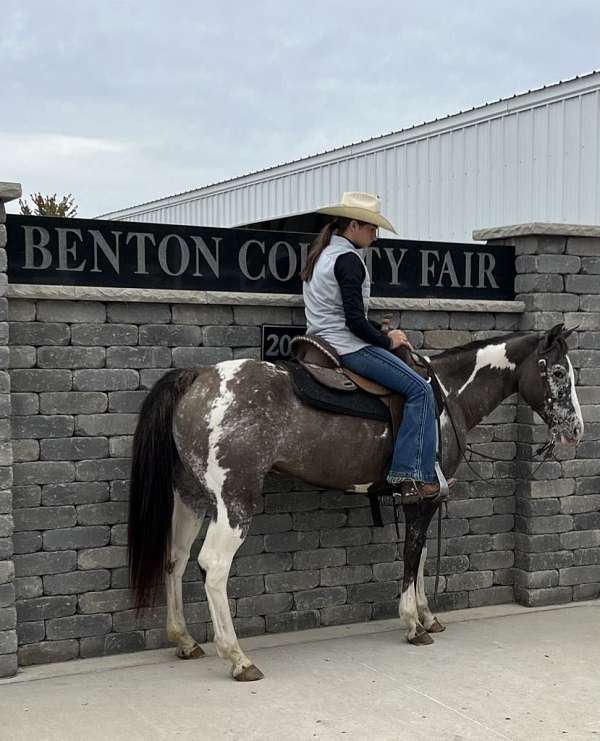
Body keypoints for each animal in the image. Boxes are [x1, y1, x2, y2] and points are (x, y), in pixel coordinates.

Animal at [126, 324, 580, 684]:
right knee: (214, 566)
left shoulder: (426, 499)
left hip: (190, 495)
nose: (576, 430)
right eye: (558, 372)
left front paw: (428, 615)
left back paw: (184, 639)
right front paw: (413, 624)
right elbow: (411, 556)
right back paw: (238, 658)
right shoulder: (419, 501)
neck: (445, 395)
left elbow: (421, 556)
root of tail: (199, 377)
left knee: (175, 557)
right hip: (234, 499)